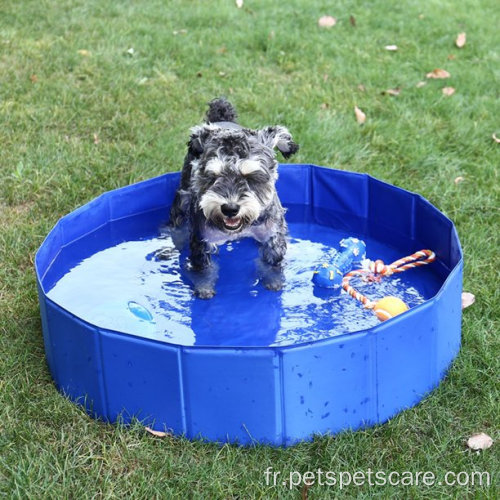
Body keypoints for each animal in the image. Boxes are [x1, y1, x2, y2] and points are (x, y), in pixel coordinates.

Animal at [168, 97, 298, 296]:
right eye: (212, 176)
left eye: (251, 177)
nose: (230, 208)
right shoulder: (201, 240)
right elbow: (204, 270)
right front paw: (204, 288)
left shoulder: (273, 236)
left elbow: (273, 264)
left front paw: (274, 282)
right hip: (182, 197)